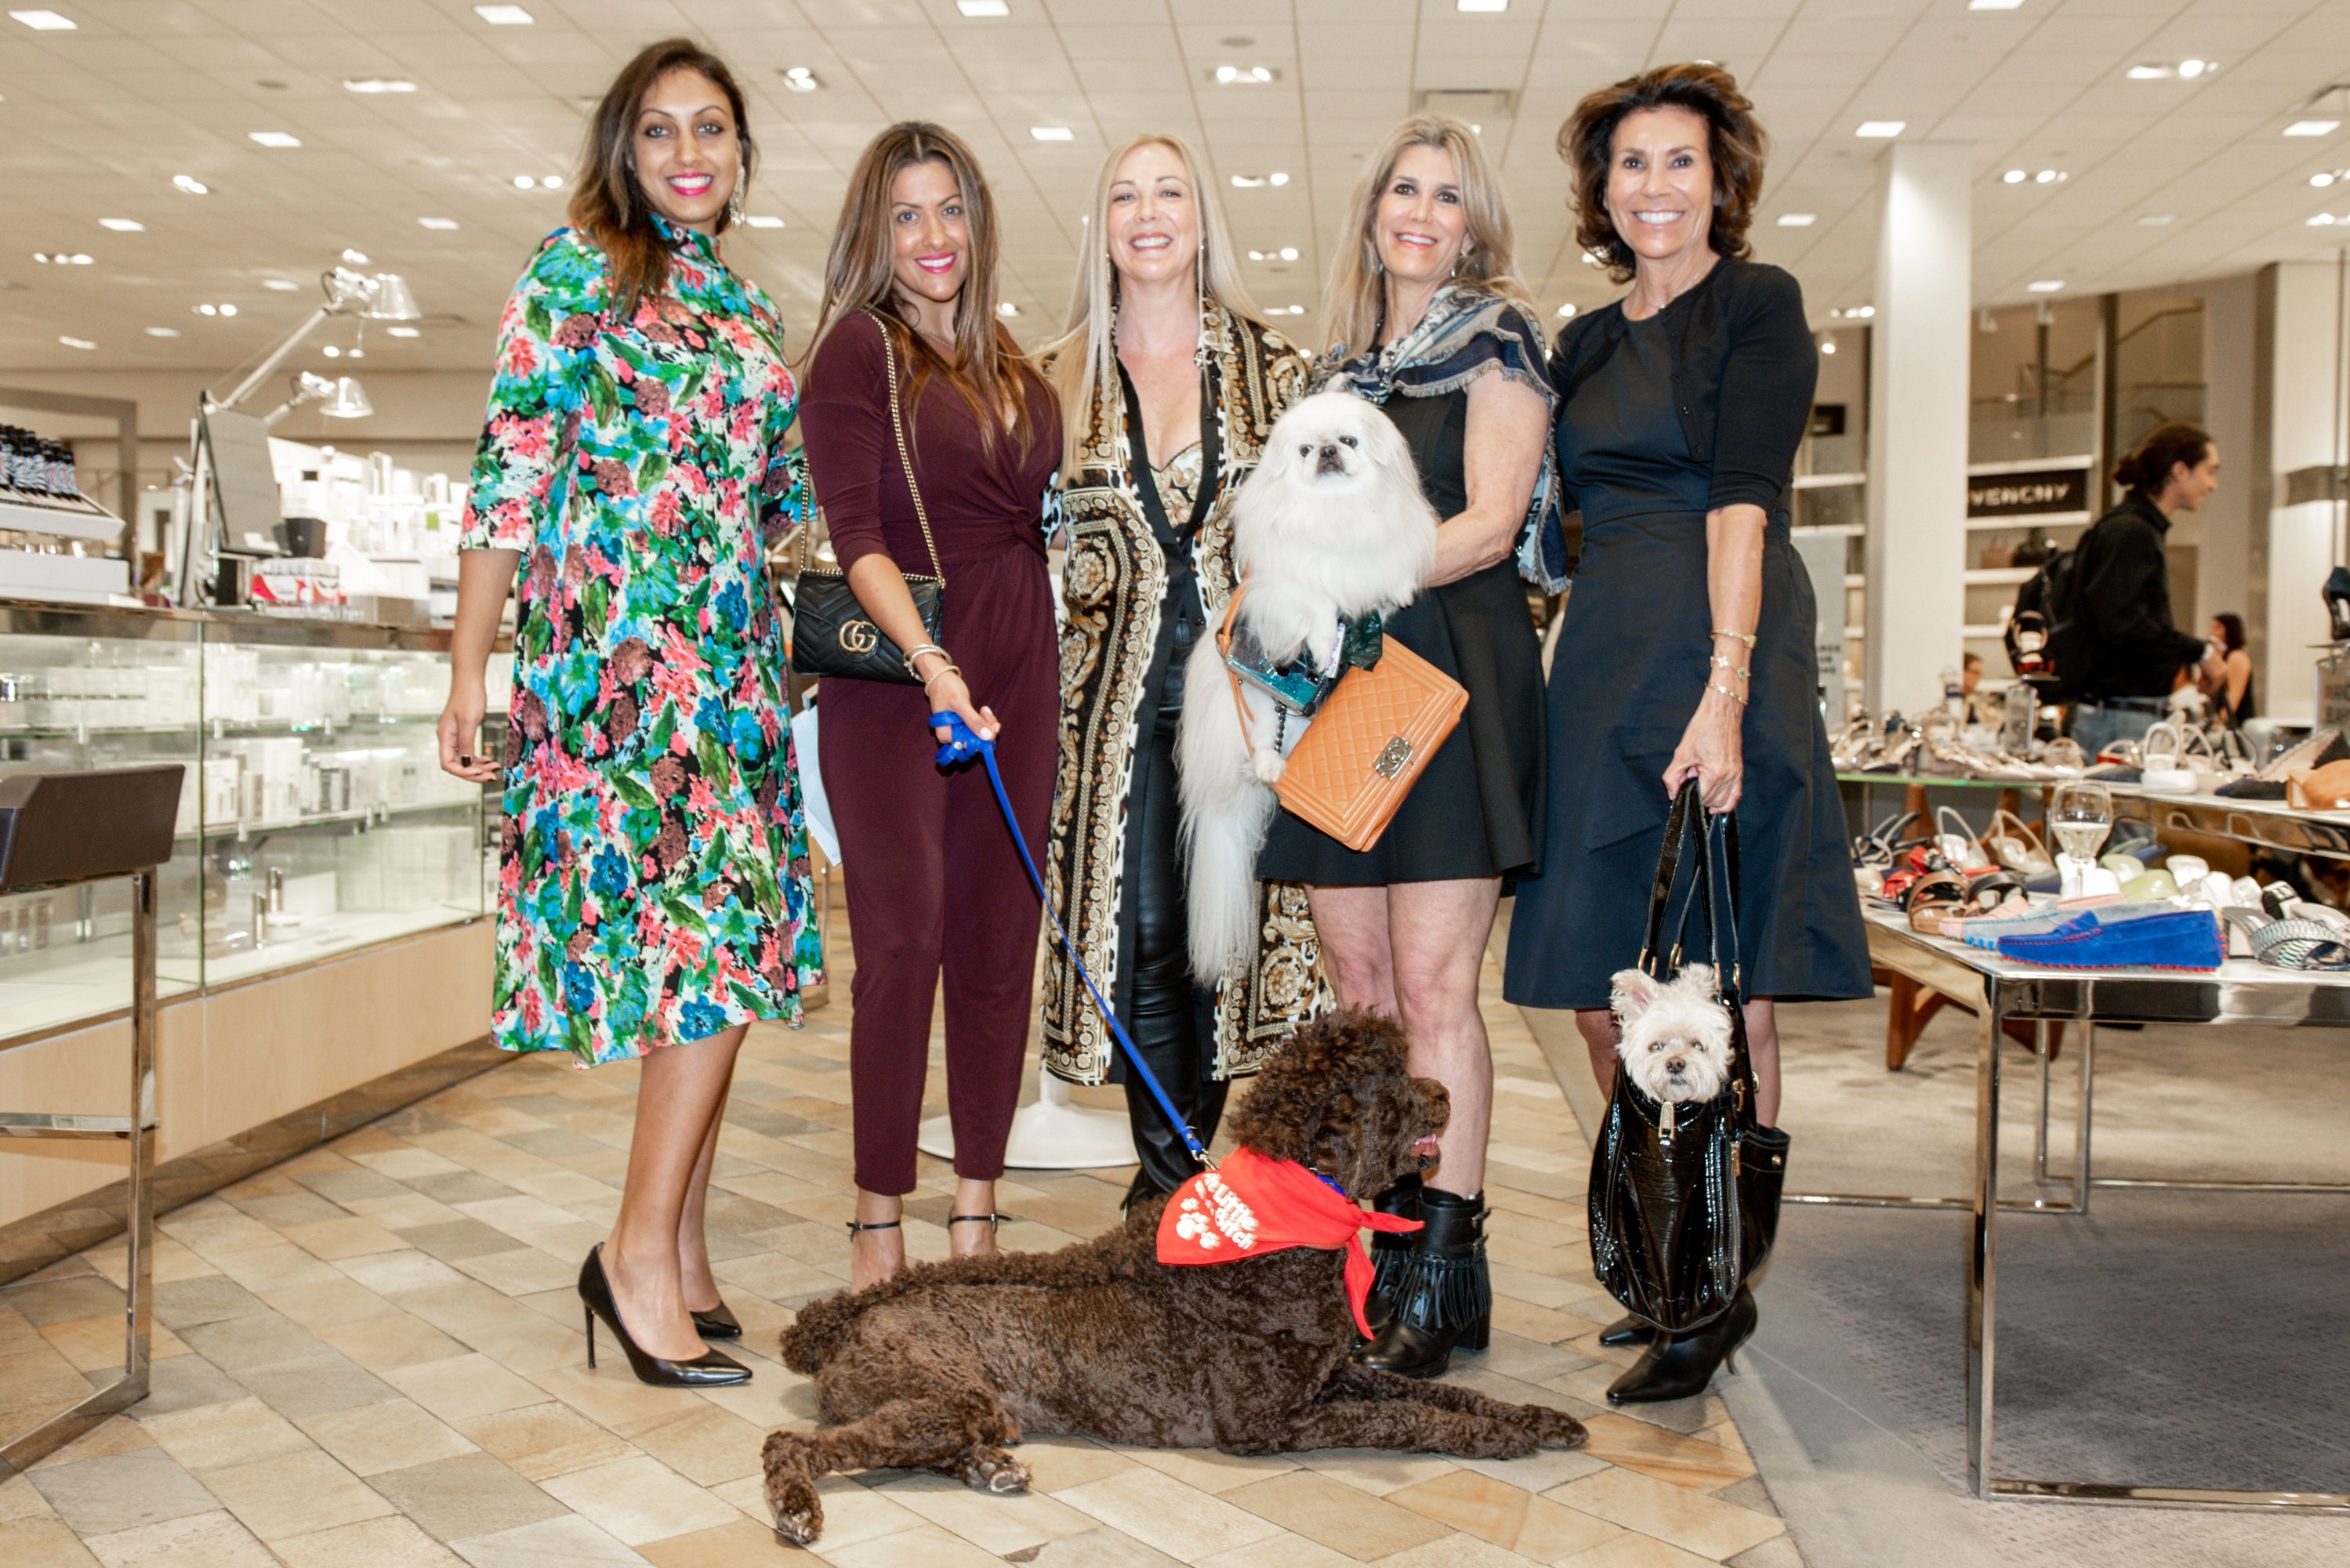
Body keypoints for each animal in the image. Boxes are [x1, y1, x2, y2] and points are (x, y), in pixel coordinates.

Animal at [761, 1020, 1588, 1542]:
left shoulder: (1334, 1375)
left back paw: (991, 1466)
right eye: (1386, 1084)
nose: (1446, 1092)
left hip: (967, 1406)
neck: (1282, 1237)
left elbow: (1446, 1394)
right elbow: (1410, 1419)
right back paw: (798, 1506)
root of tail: (840, 1323)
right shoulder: (1270, 1422)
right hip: (943, 1396)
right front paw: (1497, 1438)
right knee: (793, 1442)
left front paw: (1533, 1416)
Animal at [1175, 393, 1428, 983]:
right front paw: (1319, 634)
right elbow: (1315, 599)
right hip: (1251, 721)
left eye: (1349, 441)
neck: (1337, 517)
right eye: (1307, 450)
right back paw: (1269, 767)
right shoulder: (1282, 585)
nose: (1330, 452)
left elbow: (1384, 577)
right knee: (1256, 757)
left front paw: (1398, 591)